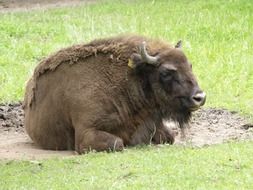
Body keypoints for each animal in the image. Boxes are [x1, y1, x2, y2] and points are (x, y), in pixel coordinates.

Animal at [23, 35, 206, 154]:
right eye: (166, 72)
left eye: (190, 65)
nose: (200, 97)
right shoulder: (86, 133)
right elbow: (118, 143)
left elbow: (170, 136)